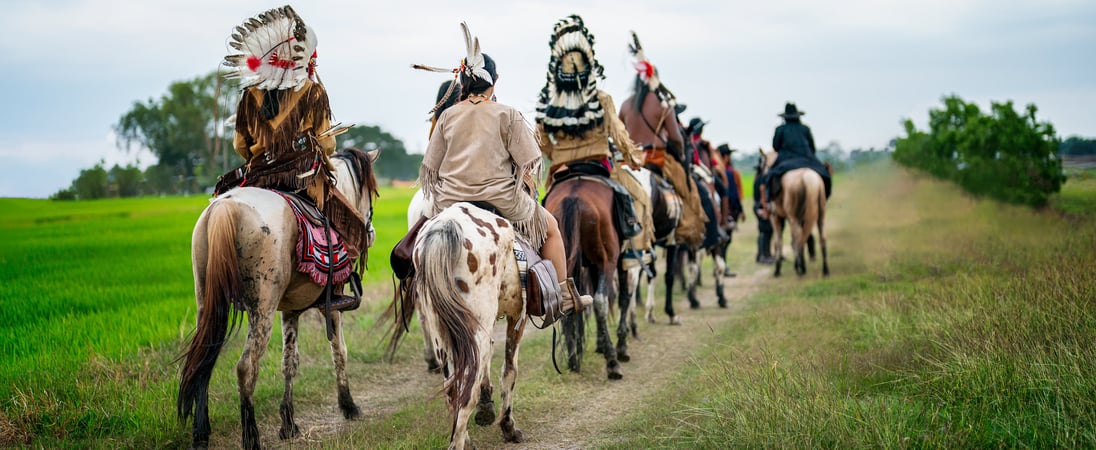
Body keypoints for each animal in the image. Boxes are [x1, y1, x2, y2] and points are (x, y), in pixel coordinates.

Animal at [177, 148, 379, 450]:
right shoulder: (331, 306)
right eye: (372, 195)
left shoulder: (290, 310)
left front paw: (289, 423)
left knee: (203, 362)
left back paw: (201, 434)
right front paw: (348, 405)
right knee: (246, 367)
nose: (371, 232)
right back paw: (251, 437)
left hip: (208, 302)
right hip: (262, 307)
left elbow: (289, 362)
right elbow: (339, 350)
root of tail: (224, 207)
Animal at [390, 203, 530, 450]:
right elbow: (509, 371)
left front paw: (487, 406)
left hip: (442, 333)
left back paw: (465, 438)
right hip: (473, 329)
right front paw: (508, 426)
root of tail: (445, 227)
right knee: (466, 394)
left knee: (452, 388)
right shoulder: (517, 317)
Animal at [541, 176, 626, 381]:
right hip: (607, 260)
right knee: (601, 301)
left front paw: (600, 344)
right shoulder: (624, 259)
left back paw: (573, 361)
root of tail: (573, 197)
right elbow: (624, 297)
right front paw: (621, 346)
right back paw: (612, 362)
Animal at [762, 147, 828, 277]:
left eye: (764, 164)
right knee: (819, 238)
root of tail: (809, 178)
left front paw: (777, 270)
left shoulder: (775, 218)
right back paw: (825, 270)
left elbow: (778, 242)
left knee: (799, 240)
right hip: (820, 216)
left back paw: (801, 268)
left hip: (793, 219)